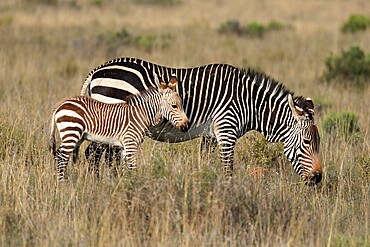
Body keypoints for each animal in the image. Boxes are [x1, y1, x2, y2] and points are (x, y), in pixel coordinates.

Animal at [49, 75, 188, 179]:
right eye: (174, 106)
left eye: (181, 105)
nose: (186, 126)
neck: (140, 115)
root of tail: (60, 104)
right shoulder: (130, 144)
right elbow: (133, 169)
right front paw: (135, 187)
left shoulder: (125, 147)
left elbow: (126, 169)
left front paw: (125, 185)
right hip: (71, 132)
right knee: (62, 156)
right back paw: (62, 185)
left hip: (76, 136)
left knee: (60, 155)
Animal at [80, 58, 320, 184]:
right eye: (307, 143)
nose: (318, 178)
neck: (249, 103)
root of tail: (96, 71)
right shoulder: (226, 130)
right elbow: (228, 168)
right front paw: (228, 193)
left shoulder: (211, 135)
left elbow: (206, 162)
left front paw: (206, 184)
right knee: (94, 155)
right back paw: (100, 185)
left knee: (100, 156)